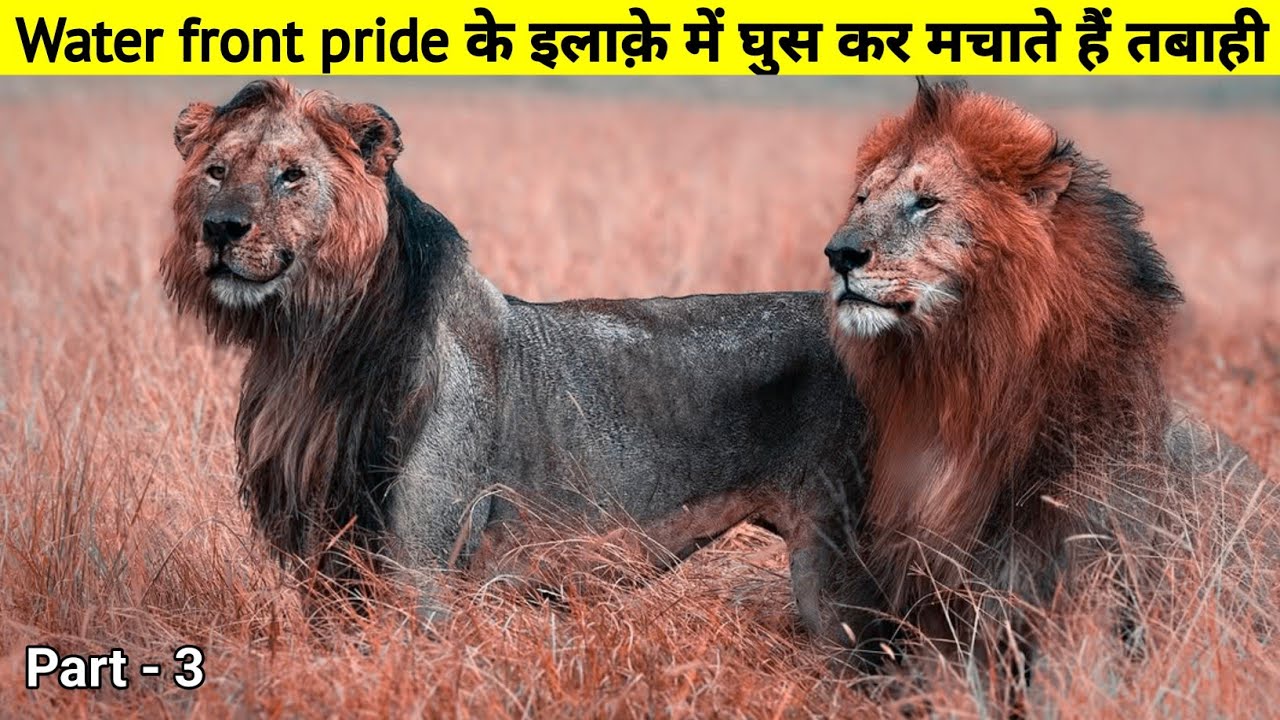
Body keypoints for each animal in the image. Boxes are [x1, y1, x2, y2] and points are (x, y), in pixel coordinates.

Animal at [160, 78, 870, 643]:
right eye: (216, 171)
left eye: (292, 174)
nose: (220, 227)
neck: (308, 347)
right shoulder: (325, 564)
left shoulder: (421, 569)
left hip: (842, 574)